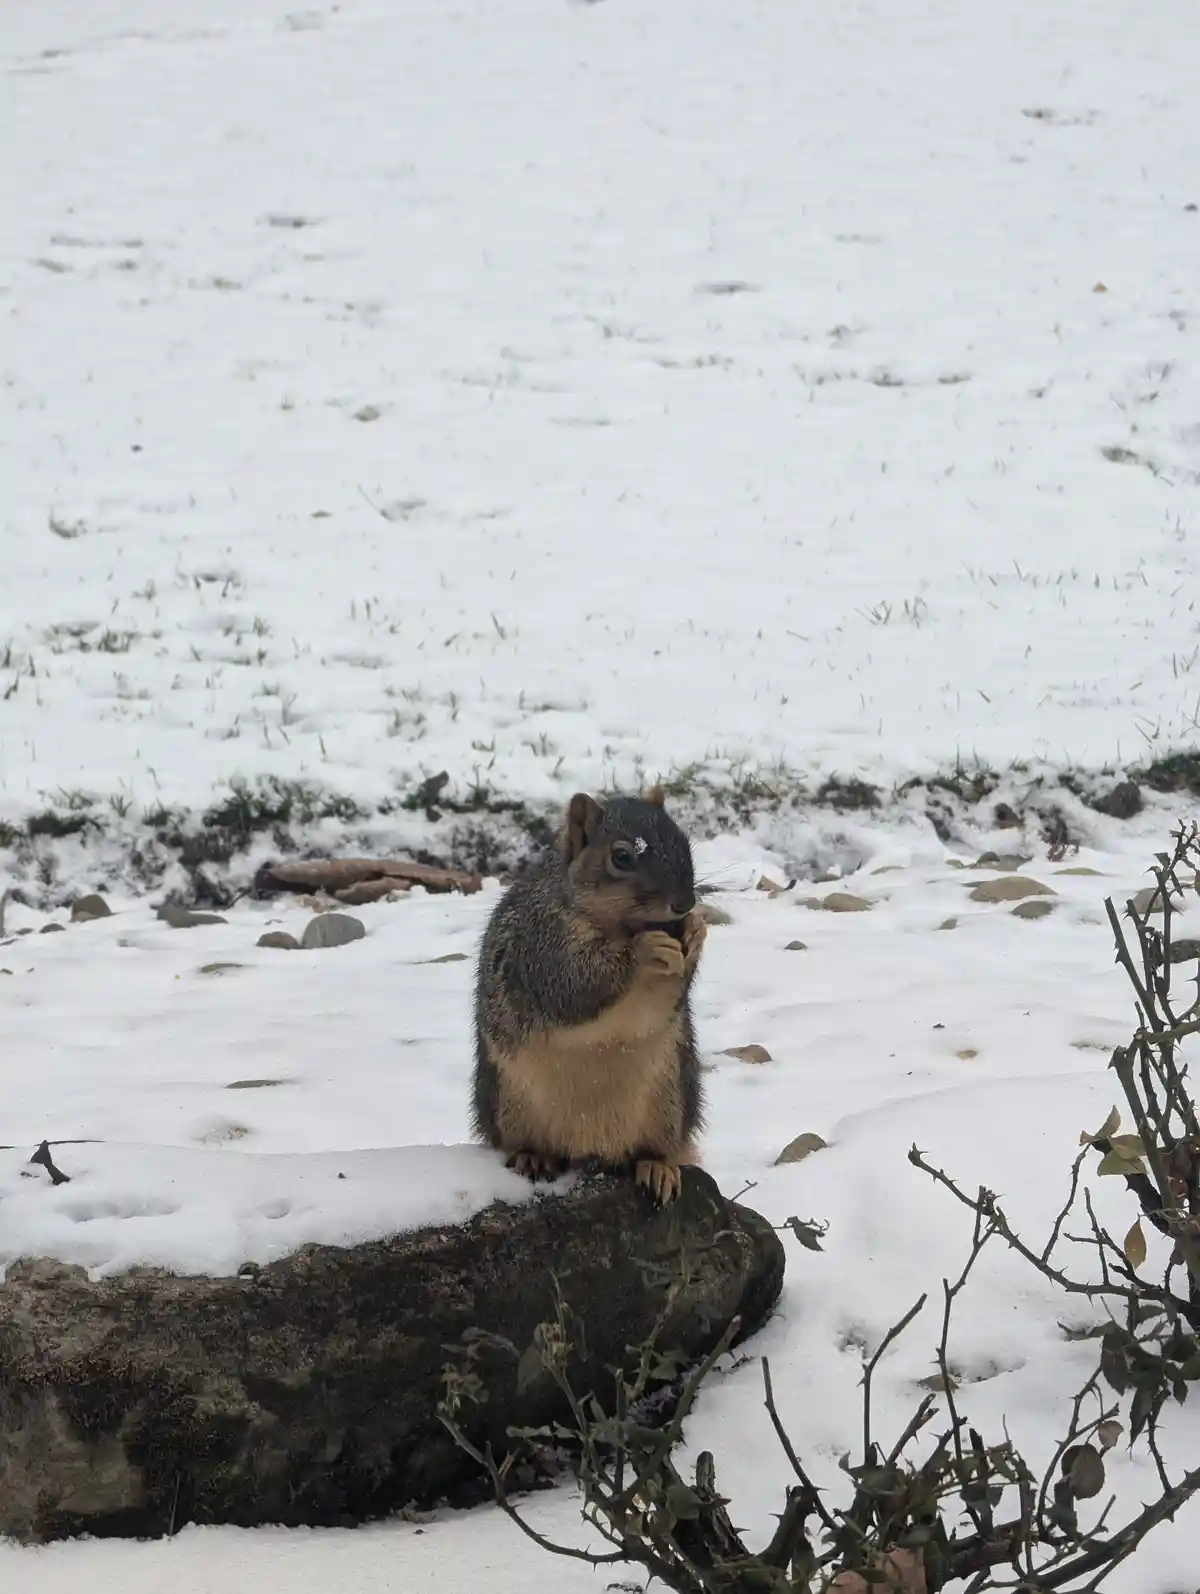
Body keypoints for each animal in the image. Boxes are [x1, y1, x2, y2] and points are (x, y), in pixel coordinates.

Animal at [472, 786, 706, 1205]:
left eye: (684, 841)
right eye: (622, 856)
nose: (684, 905)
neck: (620, 925)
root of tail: (590, 1149)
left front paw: (696, 932)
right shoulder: (542, 946)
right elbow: (575, 985)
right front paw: (644, 949)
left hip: (671, 1101)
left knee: (654, 1149)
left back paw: (656, 1166)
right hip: (508, 1102)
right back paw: (532, 1156)